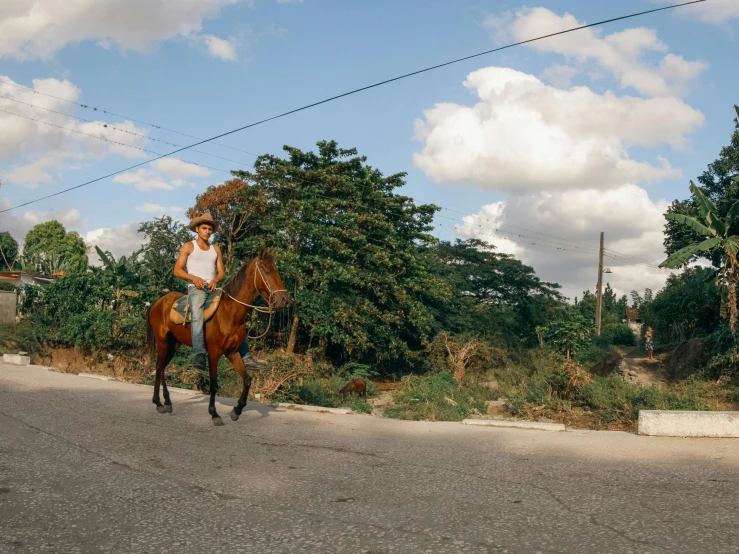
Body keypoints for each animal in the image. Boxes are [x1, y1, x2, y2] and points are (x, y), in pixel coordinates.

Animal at [145, 246, 290, 422]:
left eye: (276, 270)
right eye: (266, 270)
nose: (284, 299)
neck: (228, 313)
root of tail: (158, 302)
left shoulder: (233, 353)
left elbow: (247, 379)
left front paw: (237, 410)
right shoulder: (213, 353)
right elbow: (214, 385)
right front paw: (214, 413)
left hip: (174, 344)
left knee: (162, 368)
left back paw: (165, 402)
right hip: (162, 342)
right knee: (159, 367)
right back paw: (159, 402)